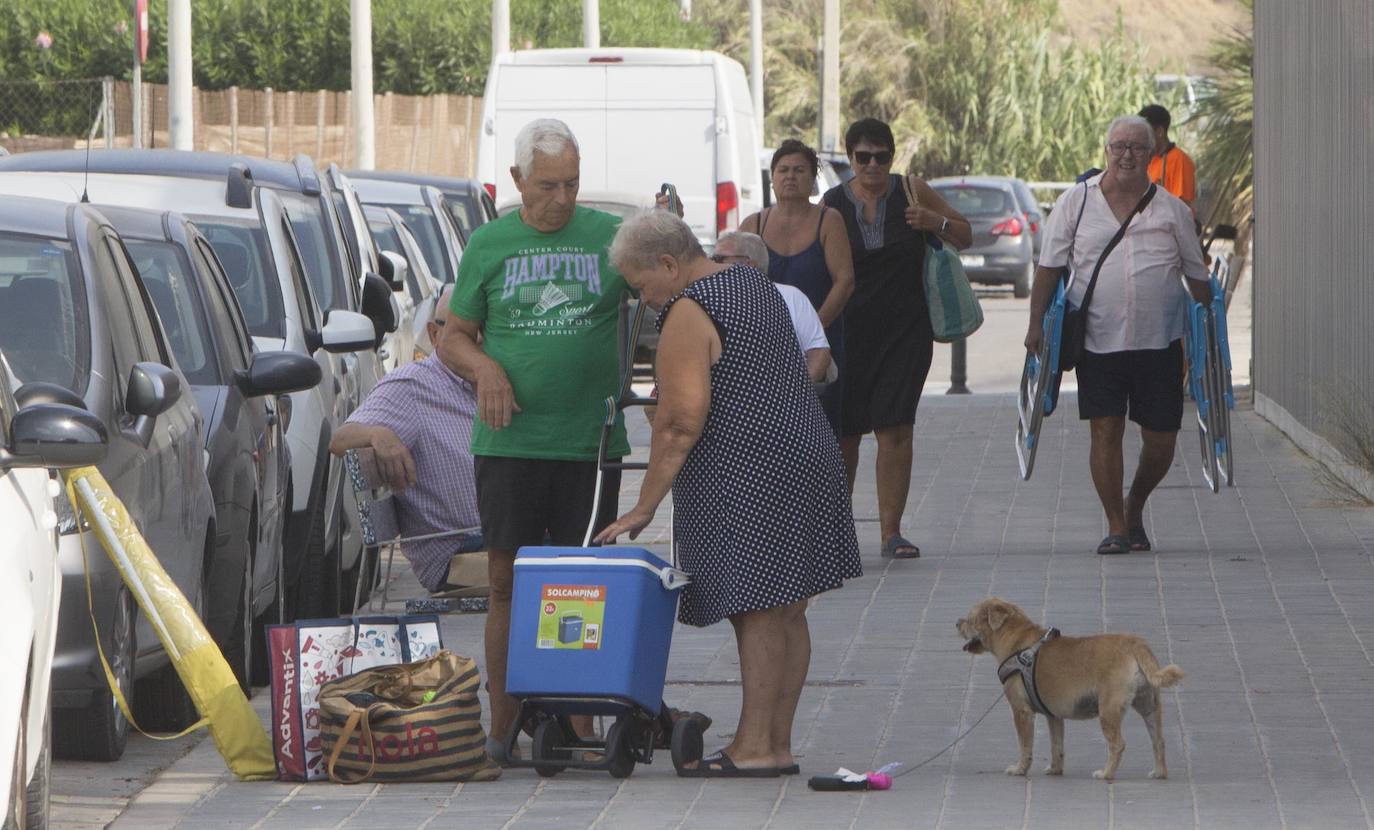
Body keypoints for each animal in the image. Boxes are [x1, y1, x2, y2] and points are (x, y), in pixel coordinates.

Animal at [956, 596, 1181, 780]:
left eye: (971, 619)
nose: (957, 622)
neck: (1014, 637)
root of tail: (1135, 644)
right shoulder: (1054, 716)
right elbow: (1057, 746)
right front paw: (1055, 769)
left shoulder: (1021, 712)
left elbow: (1025, 745)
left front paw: (1020, 769)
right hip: (1149, 706)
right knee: (1158, 740)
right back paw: (1160, 773)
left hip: (1108, 710)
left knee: (1118, 744)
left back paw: (1106, 773)